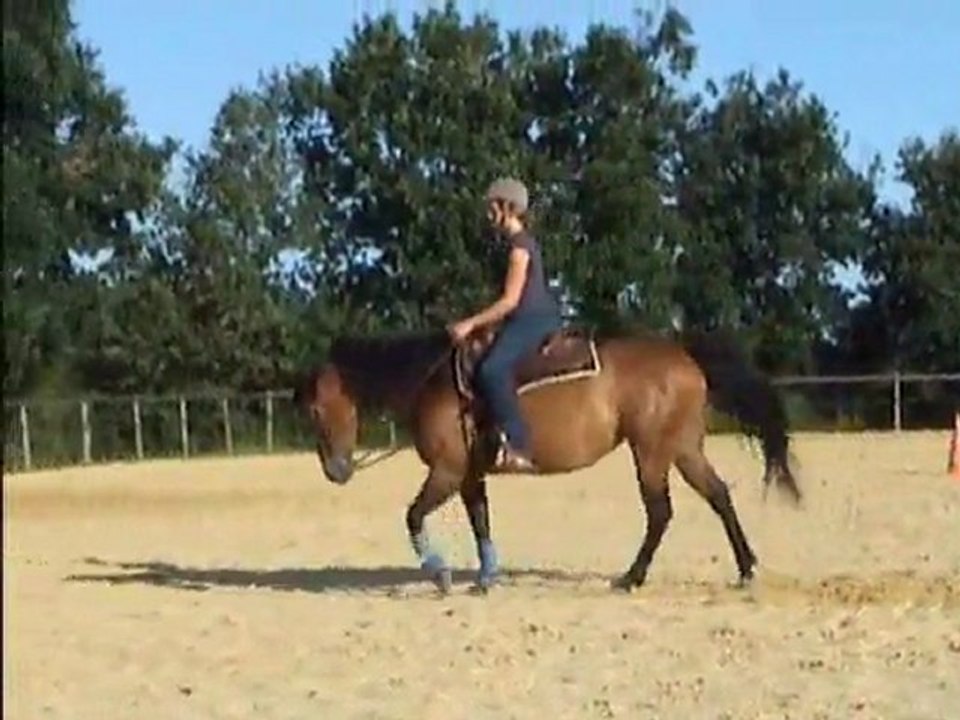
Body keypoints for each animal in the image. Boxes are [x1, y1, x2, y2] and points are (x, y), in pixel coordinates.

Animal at [293, 323, 801, 595]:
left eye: (316, 409)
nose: (335, 471)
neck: (434, 380)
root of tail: (684, 355)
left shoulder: (448, 471)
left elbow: (413, 515)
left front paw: (439, 575)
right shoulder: (469, 474)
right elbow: (481, 521)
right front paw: (485, 578)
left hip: (652, 451)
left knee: (660, 512)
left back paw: (631, 577)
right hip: (683, 448)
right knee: (718, 496)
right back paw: (746, 569)